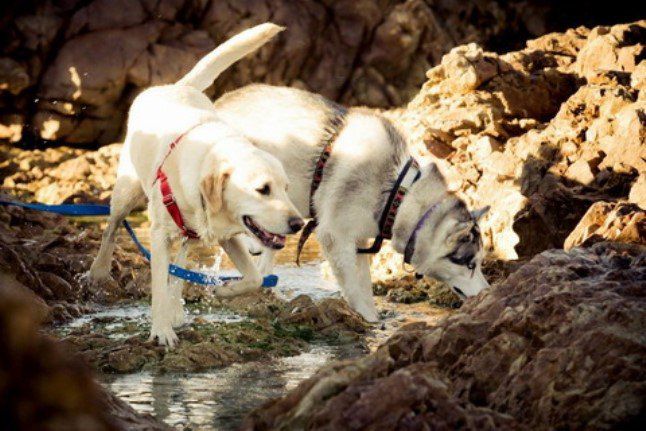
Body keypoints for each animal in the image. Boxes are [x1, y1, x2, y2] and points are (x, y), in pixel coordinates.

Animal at [86, 22, 306, 348]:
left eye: (286, 188)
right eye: (262, 189)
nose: (298, 224)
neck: (210, 158)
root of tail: (175, 86)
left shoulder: (228, 236)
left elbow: (254, 278)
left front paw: (225, 291)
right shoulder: (158, 234)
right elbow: (157, 284)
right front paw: (161, 330)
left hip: (188, 231)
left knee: (181, 262)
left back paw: (176, 307)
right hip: (126, 191)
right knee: (111, 228)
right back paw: (98, 272)